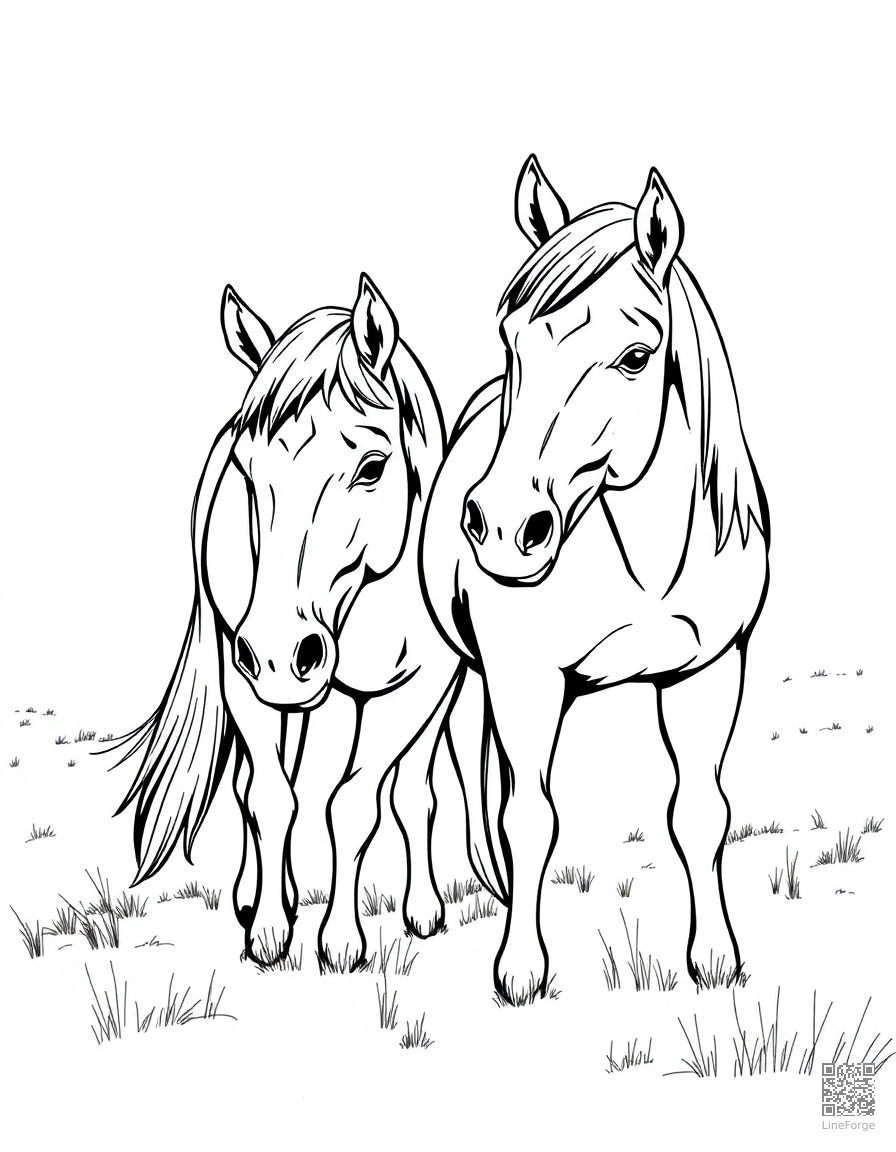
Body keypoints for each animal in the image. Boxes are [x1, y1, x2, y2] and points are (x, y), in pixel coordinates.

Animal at [114, 274, 460, 968]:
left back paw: (420, 910)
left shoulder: (419, 688)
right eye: (247, 471)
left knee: (412, 789)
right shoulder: (242, 669)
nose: (278, 651)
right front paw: (272, 933)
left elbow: (355, 803)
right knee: (263, 781)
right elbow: (271, 797)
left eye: (373, 466)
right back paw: (260, 896)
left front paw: (341, 943)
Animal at [422, 157, 770, 1004]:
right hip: (452, 668)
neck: (647, 563)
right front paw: (521, 970)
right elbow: (530, 817)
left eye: (636, 357)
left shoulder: (709, 671)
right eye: (512, 339)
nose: (503, 525)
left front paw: (714, 959)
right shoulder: (526, 678)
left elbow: (701, 812)